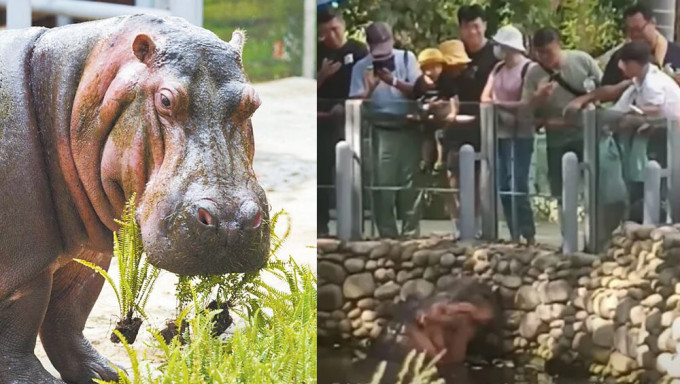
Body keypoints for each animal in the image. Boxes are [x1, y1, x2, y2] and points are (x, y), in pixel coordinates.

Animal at [0, 13, 270, 382]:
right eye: (166, 100)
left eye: (254, 102)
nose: (232, 221)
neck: (65, 95)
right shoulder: (25, 261)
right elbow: (21, 322)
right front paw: (38, 380)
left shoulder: (88, 251)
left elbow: (69, 312)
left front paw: (110, 374)